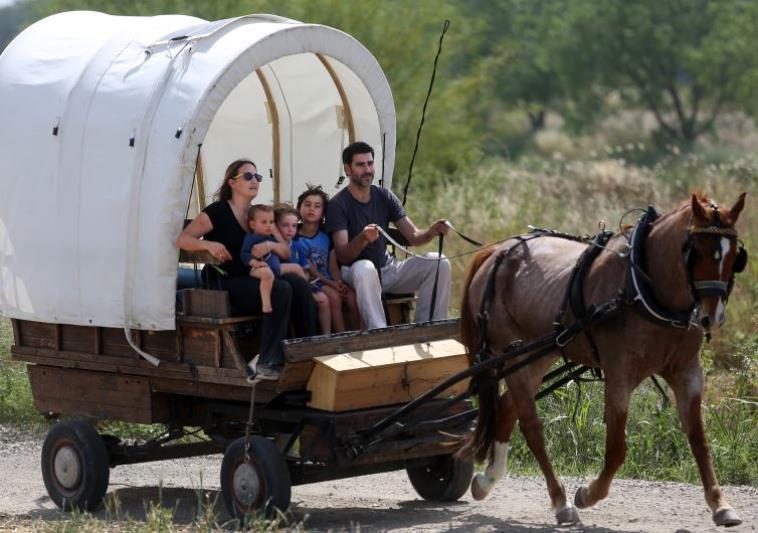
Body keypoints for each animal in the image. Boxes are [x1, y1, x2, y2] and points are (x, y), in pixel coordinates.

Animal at [464, 192, 748, 524]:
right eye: (697, 253)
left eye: (735, 257)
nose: (711, 317)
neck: (643, 289)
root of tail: (495, 252)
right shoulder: (619, 376)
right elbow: (616, 449)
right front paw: (588, 494)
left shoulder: (687, 373)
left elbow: (699, 441)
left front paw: (720, 504)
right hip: (513, 354)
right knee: (531, 427)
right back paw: (560, 501)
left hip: (535, 355)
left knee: (507, 407)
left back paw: (487, 480)